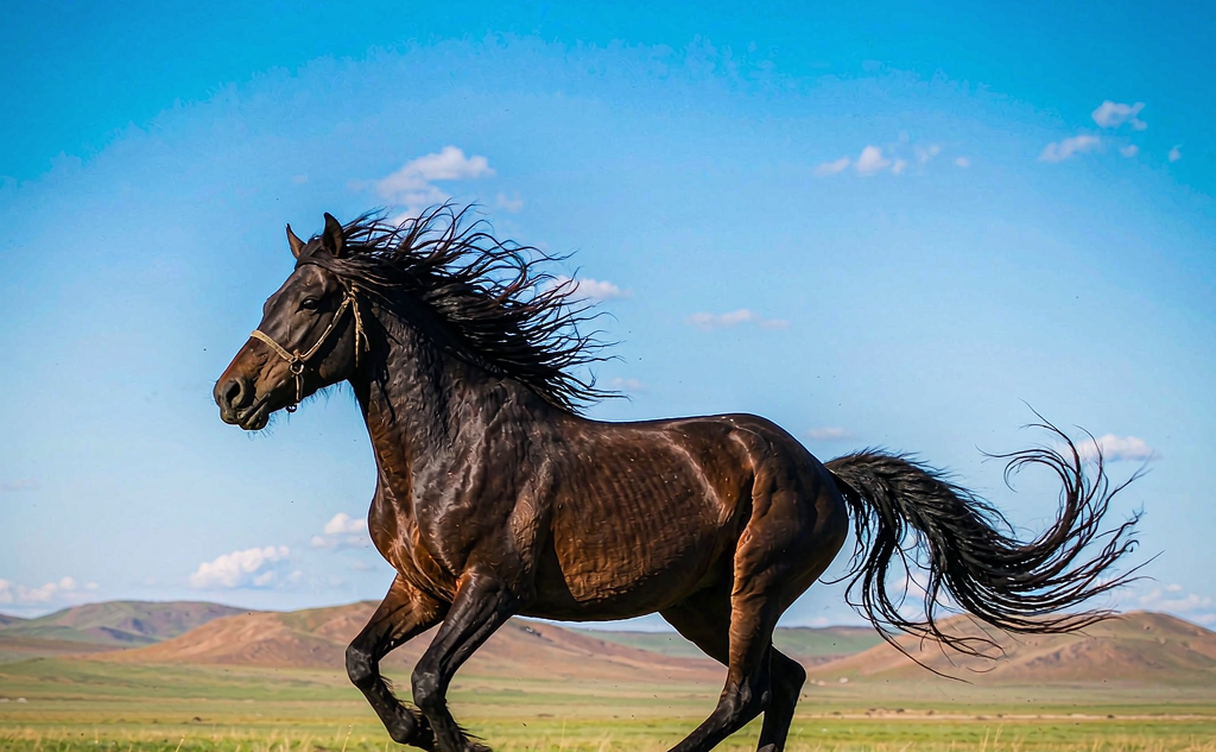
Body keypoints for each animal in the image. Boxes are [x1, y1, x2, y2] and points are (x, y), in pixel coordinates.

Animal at [214, 206, 1140, 752]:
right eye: (268, 298)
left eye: (311, 299)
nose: (231, 395)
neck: (452, 448)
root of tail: (823, 472)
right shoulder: (422, 588)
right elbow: (362, 664)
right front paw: (421, 732)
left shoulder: (492, 590)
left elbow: (428, 681)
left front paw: (464, 741)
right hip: (696, 603)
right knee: (782, 682)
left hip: (752, 585)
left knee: (745, 692)